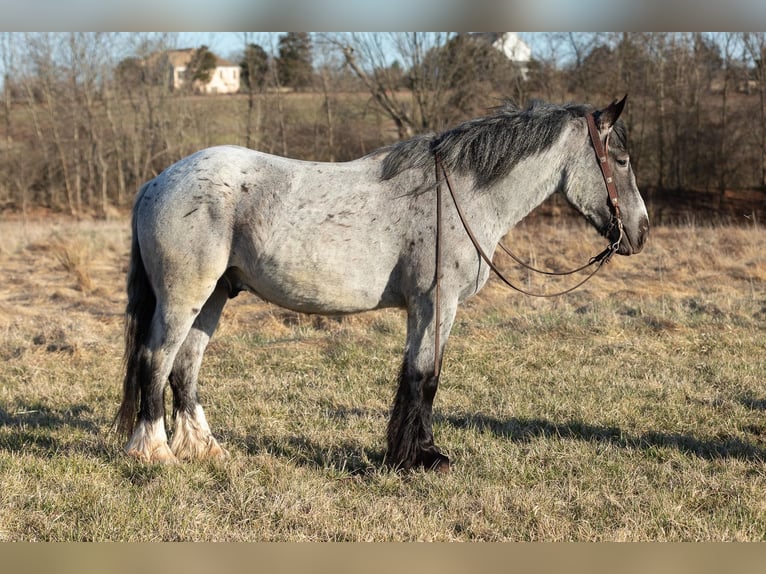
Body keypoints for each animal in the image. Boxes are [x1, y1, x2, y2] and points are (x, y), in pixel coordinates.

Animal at [117, 95, 652, 472]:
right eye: (622, 159)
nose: (641, 231)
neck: (458, 193)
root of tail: (157, 183)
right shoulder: (437, 304)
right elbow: (426, 377)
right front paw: (424, 457)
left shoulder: (423, 309)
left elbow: (414, 377)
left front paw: (404, 453)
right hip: (183, 298)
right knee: (155, 362)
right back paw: (155, 452)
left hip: (213, 299)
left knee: (185, 368)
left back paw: (204, 449)